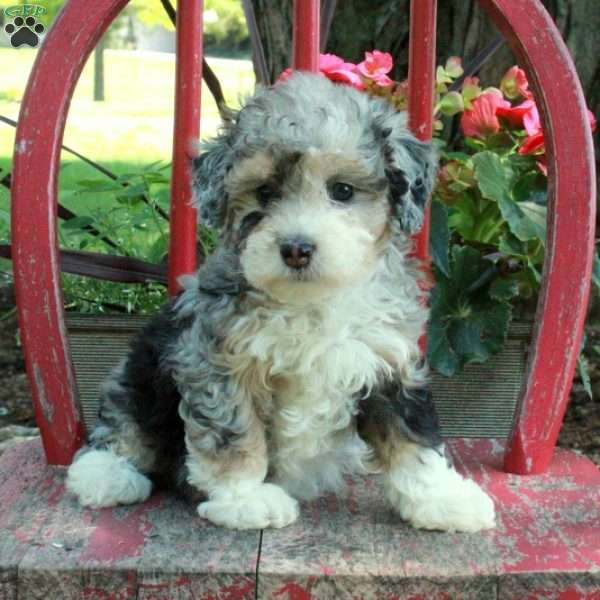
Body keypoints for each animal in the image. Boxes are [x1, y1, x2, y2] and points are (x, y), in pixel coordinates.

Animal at [67, 72, 496, 532]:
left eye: (343, 190)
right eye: (264, 192)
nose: (296, 249)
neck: (310, 301)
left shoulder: (390, 360)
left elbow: (413, 436)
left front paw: (443, 499)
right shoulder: (214, 363)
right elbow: (234, 434)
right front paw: (246, 499)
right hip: (138, 376)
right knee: (120, 431)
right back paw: (106, 476)